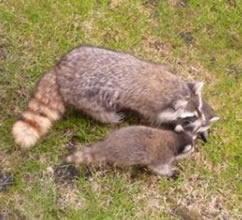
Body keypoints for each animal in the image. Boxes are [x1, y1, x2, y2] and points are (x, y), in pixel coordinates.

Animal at [12, 45, 205, 150]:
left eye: (200, 111)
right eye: (189, 118)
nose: (202, 124)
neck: (173, 88)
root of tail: (59, 71)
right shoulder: (151, 107)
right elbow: (153, 120)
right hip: (86, 96)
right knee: (97, 111)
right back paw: (109, 117)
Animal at [65, 126, 196, 178]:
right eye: (191, 149)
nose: (195, 150)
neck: (174, 139)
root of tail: (107, 144)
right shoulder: (161, 156)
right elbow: (158, 167)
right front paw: (171, 173)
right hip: (121, 157)